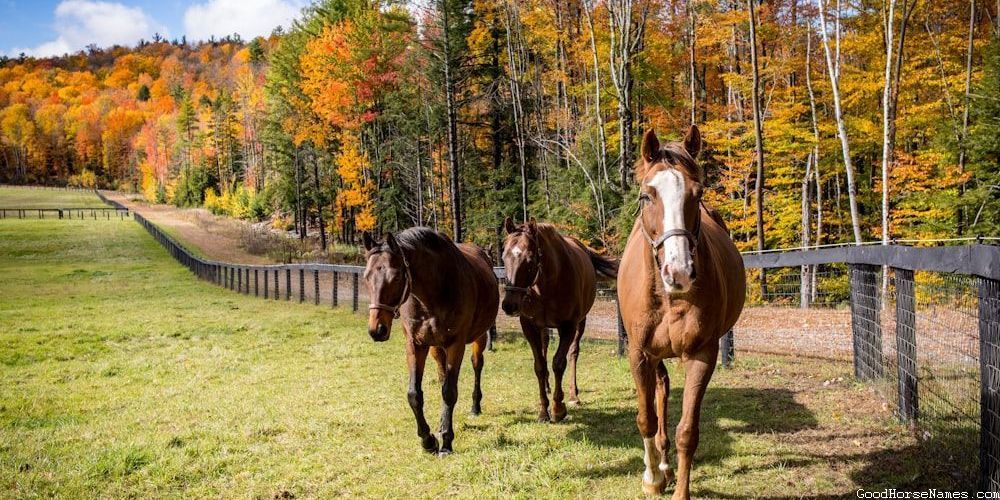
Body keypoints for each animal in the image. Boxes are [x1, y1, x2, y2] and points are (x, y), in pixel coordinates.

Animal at [362, 227, 499, 455]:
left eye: (396, 276)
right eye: (366, 276)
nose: (377, 330)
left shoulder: (456, 345)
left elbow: (449, 392)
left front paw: (446, 441)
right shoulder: (416, 345)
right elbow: (414, 394)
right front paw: (428, 440)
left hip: (479, 337)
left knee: (476, 365)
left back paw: (475, 407)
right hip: (436, 347)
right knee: (442, 374)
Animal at [500, 217, 618, 422]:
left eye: (530, 259)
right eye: (504, 256)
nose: (509, 305)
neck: (547, 284)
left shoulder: (568, 326)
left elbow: (559, 362)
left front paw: (558, 408)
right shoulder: (529, 326)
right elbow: (539, 365)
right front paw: (543, 411)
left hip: (581, 323)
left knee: (573, 353)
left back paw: (573, 394)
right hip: (543, 328)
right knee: (545, 347)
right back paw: (548, 386)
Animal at [617, 126, 746, 498]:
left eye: (697, 193)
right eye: (647, 196)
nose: (680, 272)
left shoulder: (702, 354)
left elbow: (687, 431)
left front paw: (680, 489)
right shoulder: (638, 354)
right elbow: (646, 417)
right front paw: (651, 479)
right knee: (659, 394)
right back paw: (659, 467)